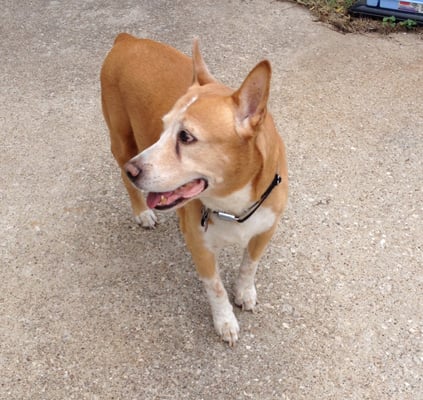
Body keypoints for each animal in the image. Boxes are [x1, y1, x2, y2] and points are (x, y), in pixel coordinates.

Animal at [101, 34, 290, 346]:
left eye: (186, 137)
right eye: (163, 128)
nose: (133, 169)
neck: (233, 204)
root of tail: (128, 39)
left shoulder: (265, 230)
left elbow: (249, 264)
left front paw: (244, 290)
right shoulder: (202, 250)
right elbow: (216, 289)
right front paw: (225, 320)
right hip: (122, 141)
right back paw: (141, 212)